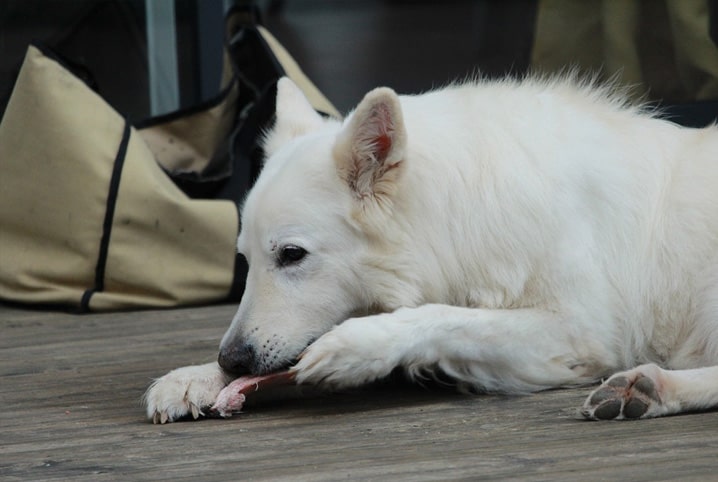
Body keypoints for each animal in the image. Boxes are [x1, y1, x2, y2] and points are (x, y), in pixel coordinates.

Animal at [145, 74, 718, 422]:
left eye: (291, 255)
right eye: (246, 261)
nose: (232, 359)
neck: (459, 209)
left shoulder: (580, 331)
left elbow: (445, 316)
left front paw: (356, 347)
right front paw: (195, 378)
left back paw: (652, 386)